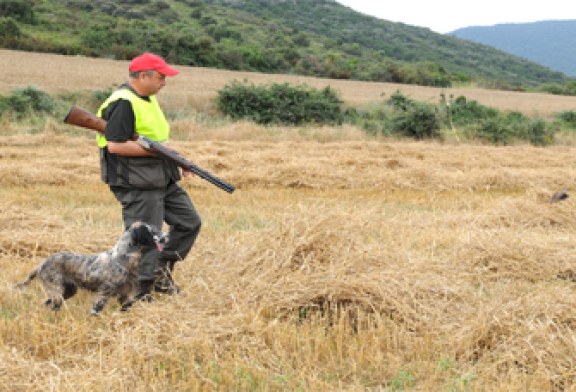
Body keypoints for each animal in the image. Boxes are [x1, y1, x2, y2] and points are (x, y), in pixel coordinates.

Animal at [16, 220, 164, 316]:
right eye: (150, 232)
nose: (164, 237)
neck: (122, 258)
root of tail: (42, 264)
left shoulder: (125, 294)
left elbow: (127, 306)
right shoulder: (104, 291)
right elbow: (96, 310)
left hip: (67, 291)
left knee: (47, 303)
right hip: (57, 291)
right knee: (53, 305)